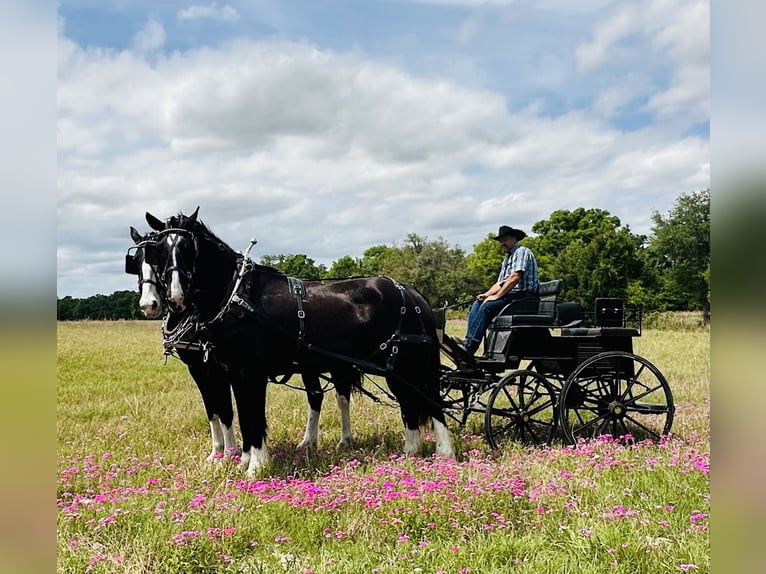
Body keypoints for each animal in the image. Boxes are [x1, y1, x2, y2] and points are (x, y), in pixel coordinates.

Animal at [143, 207, 452, 476]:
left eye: (188, 247)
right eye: (160, 250)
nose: (173, 297)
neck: (238, 297)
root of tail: (411, 292)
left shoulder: (248, 373)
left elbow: (253, 417)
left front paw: (255, 466)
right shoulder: (229, 373)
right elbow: (241, 414)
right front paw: (243, 460)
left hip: (412, 362)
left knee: (432, 400)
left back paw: (444, 452)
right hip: (394, 367)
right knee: (409, 403)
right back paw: (410, 451)